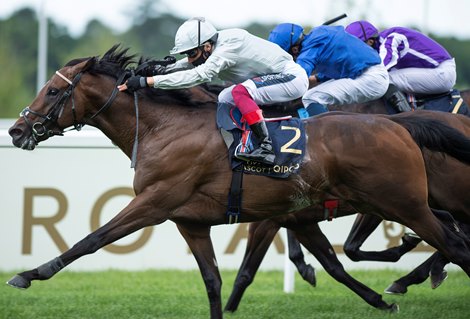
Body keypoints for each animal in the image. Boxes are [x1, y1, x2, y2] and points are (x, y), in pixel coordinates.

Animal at [5, 46, 470, 318]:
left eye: (52, 91)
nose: (16, 130)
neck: (163, 127)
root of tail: (397, 124)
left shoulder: (155, 203)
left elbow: (94, 239)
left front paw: (29, 274)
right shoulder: (194, 222)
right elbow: (215, 281)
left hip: (403, 203)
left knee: (454, 243)